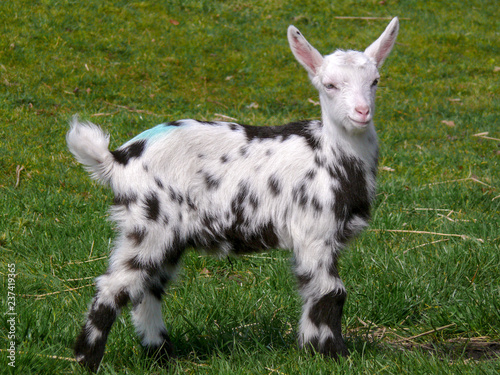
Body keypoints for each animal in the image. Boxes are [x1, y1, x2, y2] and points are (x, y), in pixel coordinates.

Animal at [67, 18, 398, 374]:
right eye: (330, 85)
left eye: (375, 81)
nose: (362, 112)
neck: (330, 156)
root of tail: (117, 159)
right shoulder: (315, 232)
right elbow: (331, 293)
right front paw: (335, 356)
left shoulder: (322, 240)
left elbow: (313, 293)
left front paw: (311, 351)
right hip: (150, 224)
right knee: (113, 287)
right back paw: (87, 360)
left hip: (163, 235)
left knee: (147, 291)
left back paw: (161, 356)